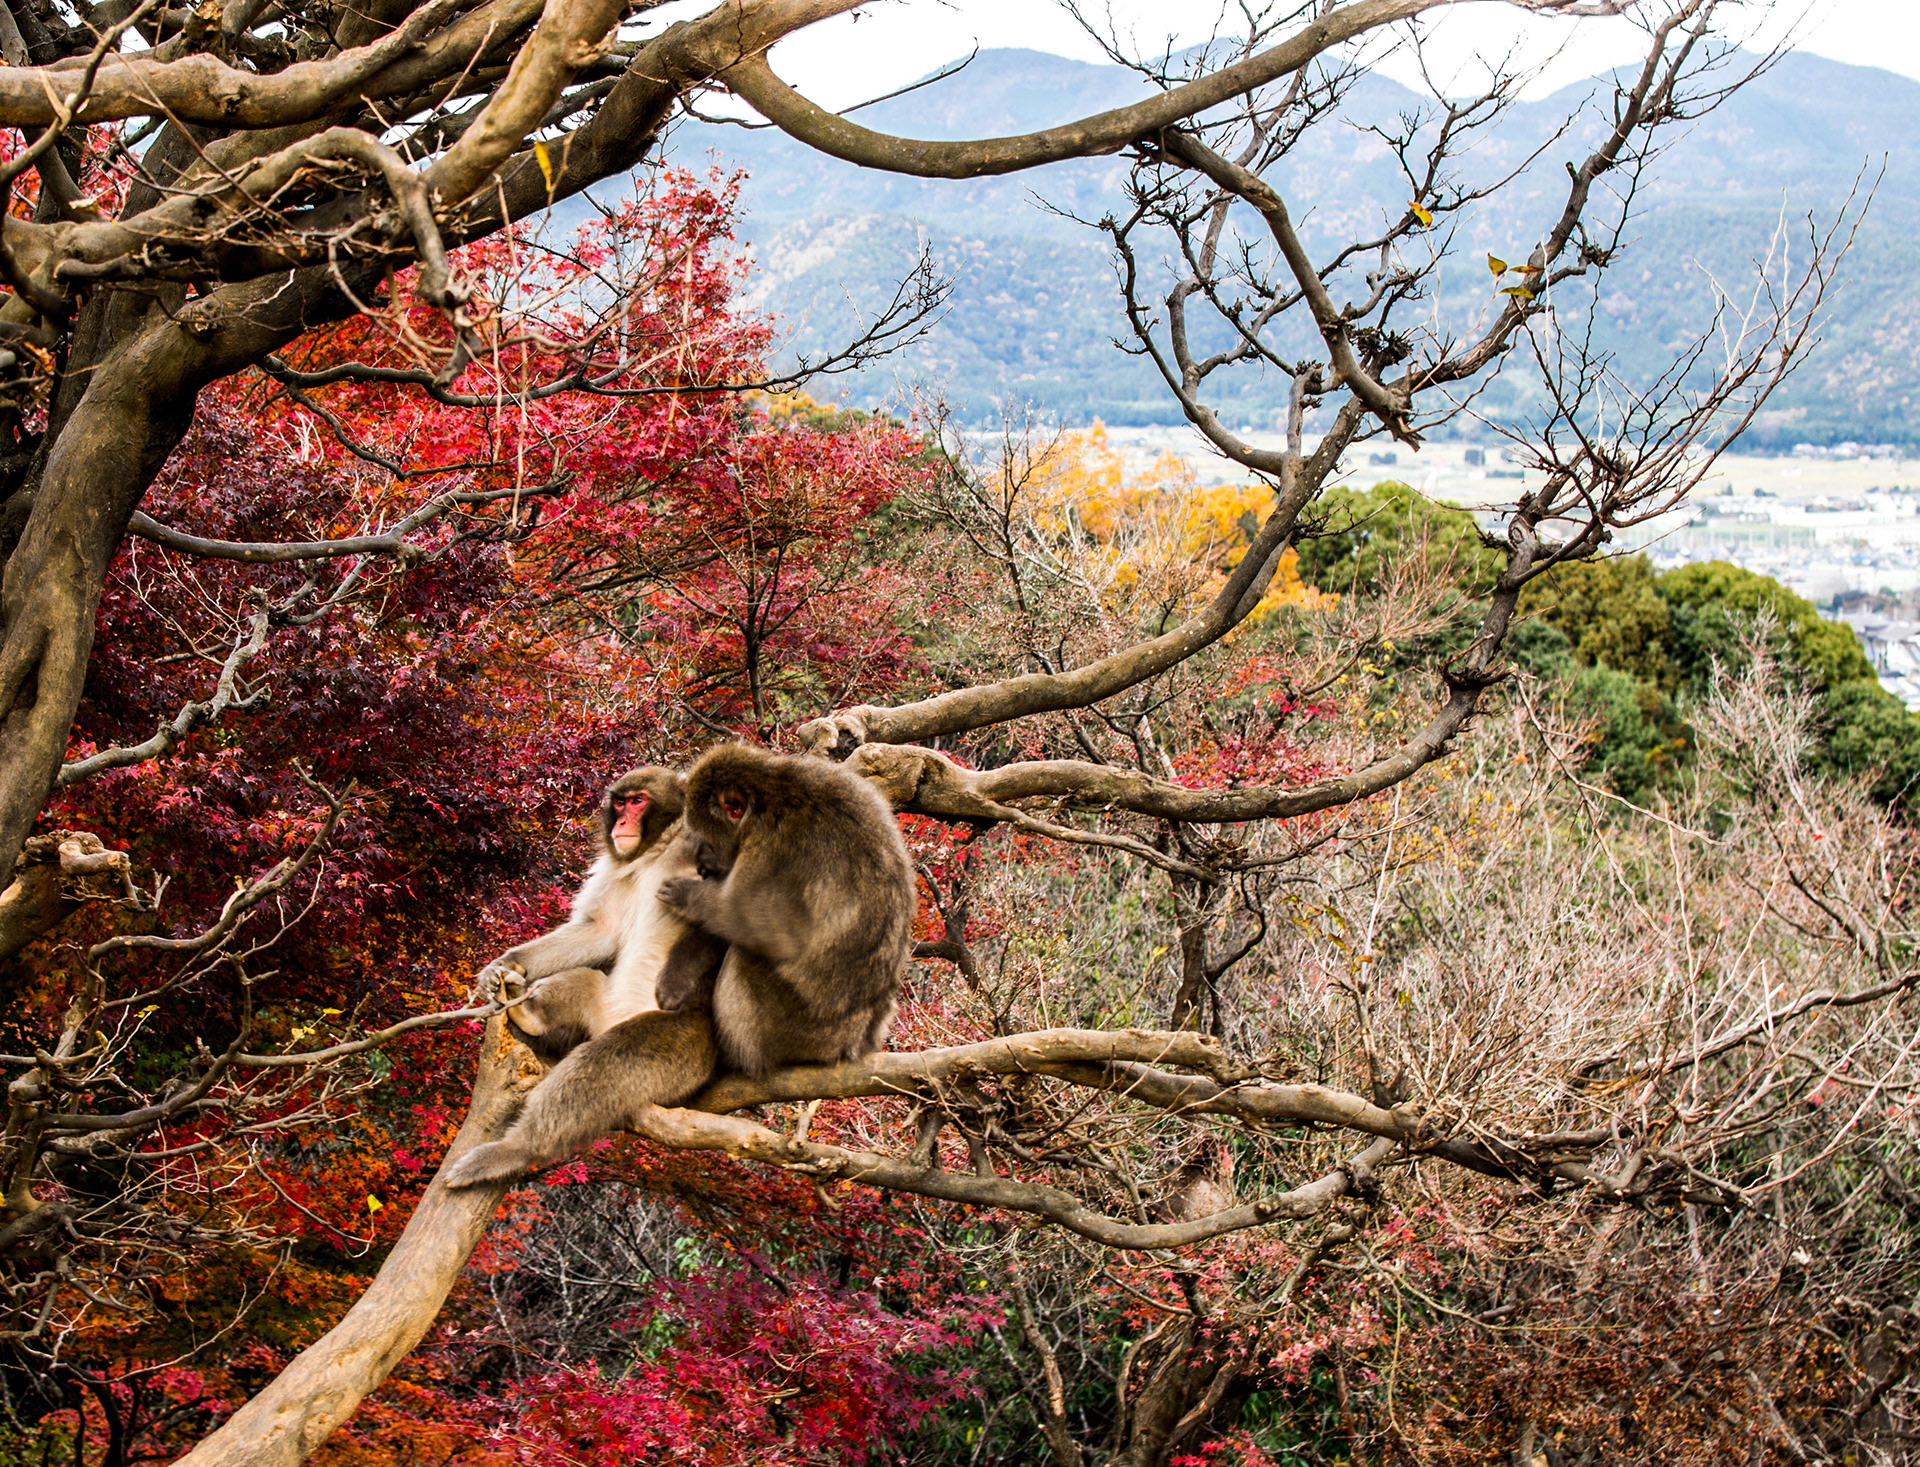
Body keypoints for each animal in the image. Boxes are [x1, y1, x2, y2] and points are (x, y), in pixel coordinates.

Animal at [654, 741, 915, 1079]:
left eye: (707, 838)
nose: (704, 860)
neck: (771, 792)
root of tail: (853, 1043)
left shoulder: (771, 849)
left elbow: (755, 924)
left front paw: (688, 895)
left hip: (800, 1031)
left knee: (744, 955)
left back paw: (739, 1058)